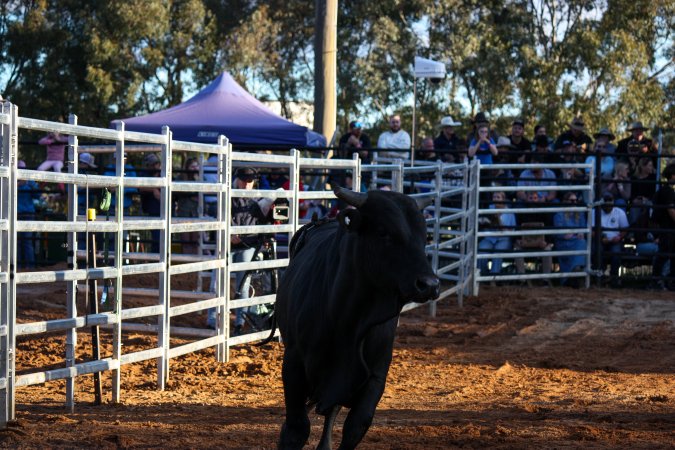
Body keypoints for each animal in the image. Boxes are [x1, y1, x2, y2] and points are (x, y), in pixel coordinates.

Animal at [275, 186, 441, 449]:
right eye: (383, 232)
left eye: (423, 236)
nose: (429, 284)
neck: (347, 320)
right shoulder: (294, 364)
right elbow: (296, 428)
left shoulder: (374, 374)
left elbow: (356, 425)